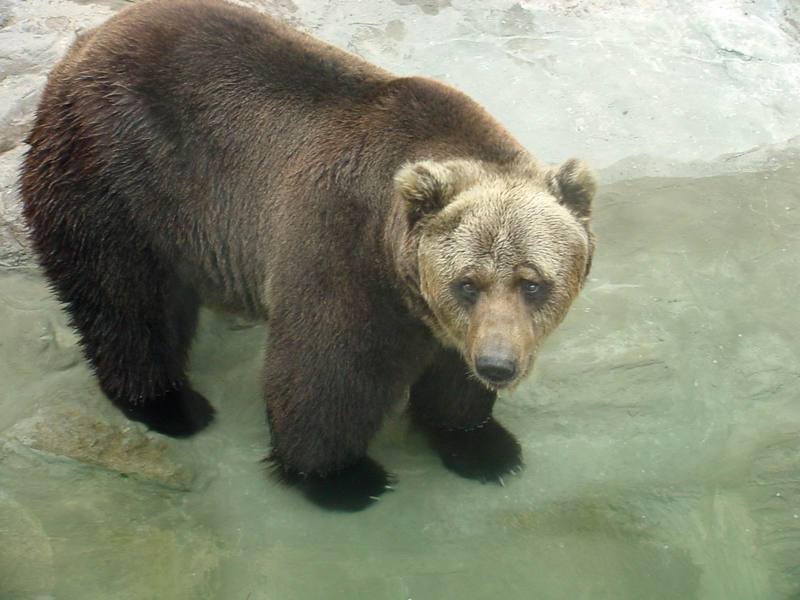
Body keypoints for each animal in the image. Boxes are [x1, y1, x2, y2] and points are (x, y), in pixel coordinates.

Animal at [18, 0, 596, 510]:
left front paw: (485, 446)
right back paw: (170, 405)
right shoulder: (344, 248)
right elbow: (327, 373)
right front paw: (344, 479)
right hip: (118, 176)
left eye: (532, 283)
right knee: (126, 300)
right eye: (467, 283)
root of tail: (85, 43)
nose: (498, 364)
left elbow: (452, 382)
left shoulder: (445, 318)